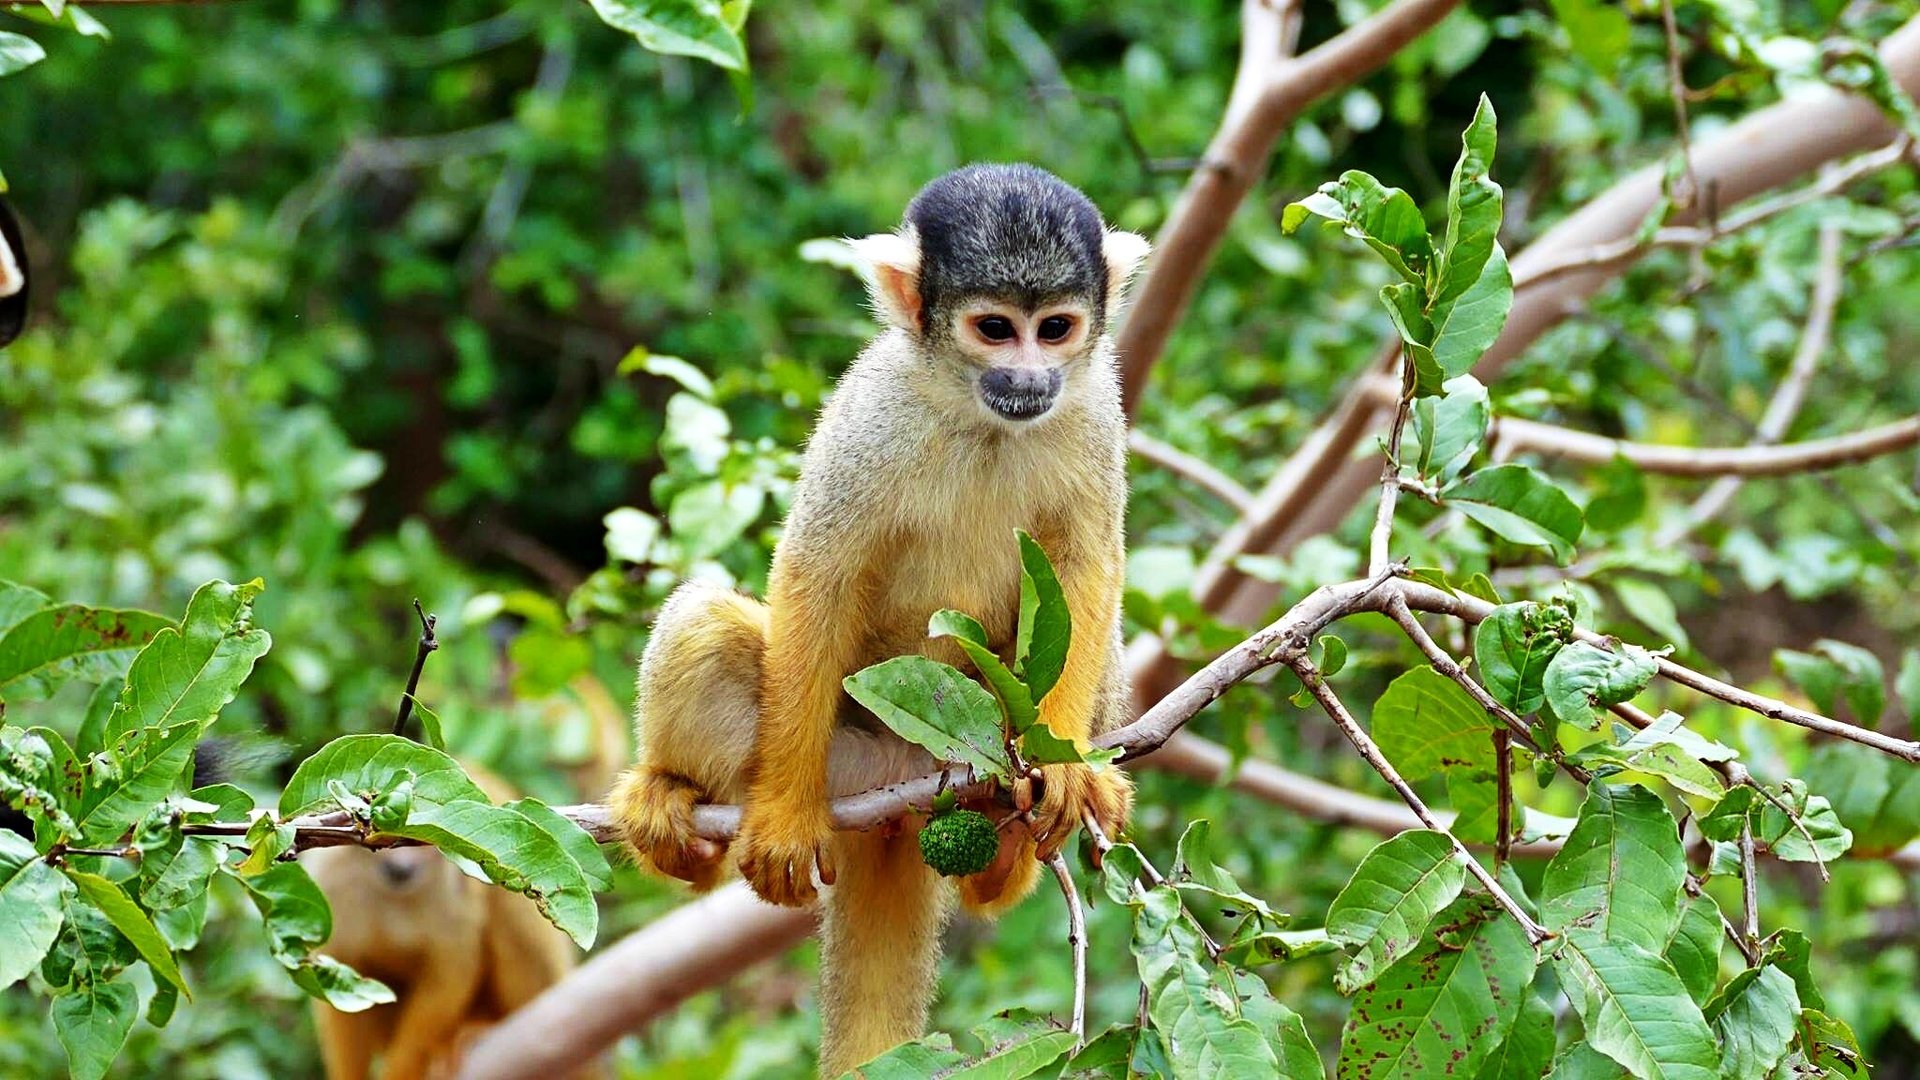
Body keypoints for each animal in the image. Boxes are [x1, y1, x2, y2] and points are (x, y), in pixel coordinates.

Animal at [305, 764, 607, 1080]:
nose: (402, 868)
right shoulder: (332, 880)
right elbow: (340, 980)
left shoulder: (451, 891)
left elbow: (451, 971)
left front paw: (402, 1069)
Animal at [609, 163, 1148, 1076]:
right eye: (996, 329)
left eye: (1056, 329)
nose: (1030, 380)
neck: (978, 415)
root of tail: (905, 791)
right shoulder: (874, 410)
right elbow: (818, 572)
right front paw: (784, 818)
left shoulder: (1095, 407)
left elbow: (1088, 569)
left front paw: (1063, 769)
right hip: (844, 762)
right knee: (705, 620)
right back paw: (677, 814)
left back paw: (1005, 860)